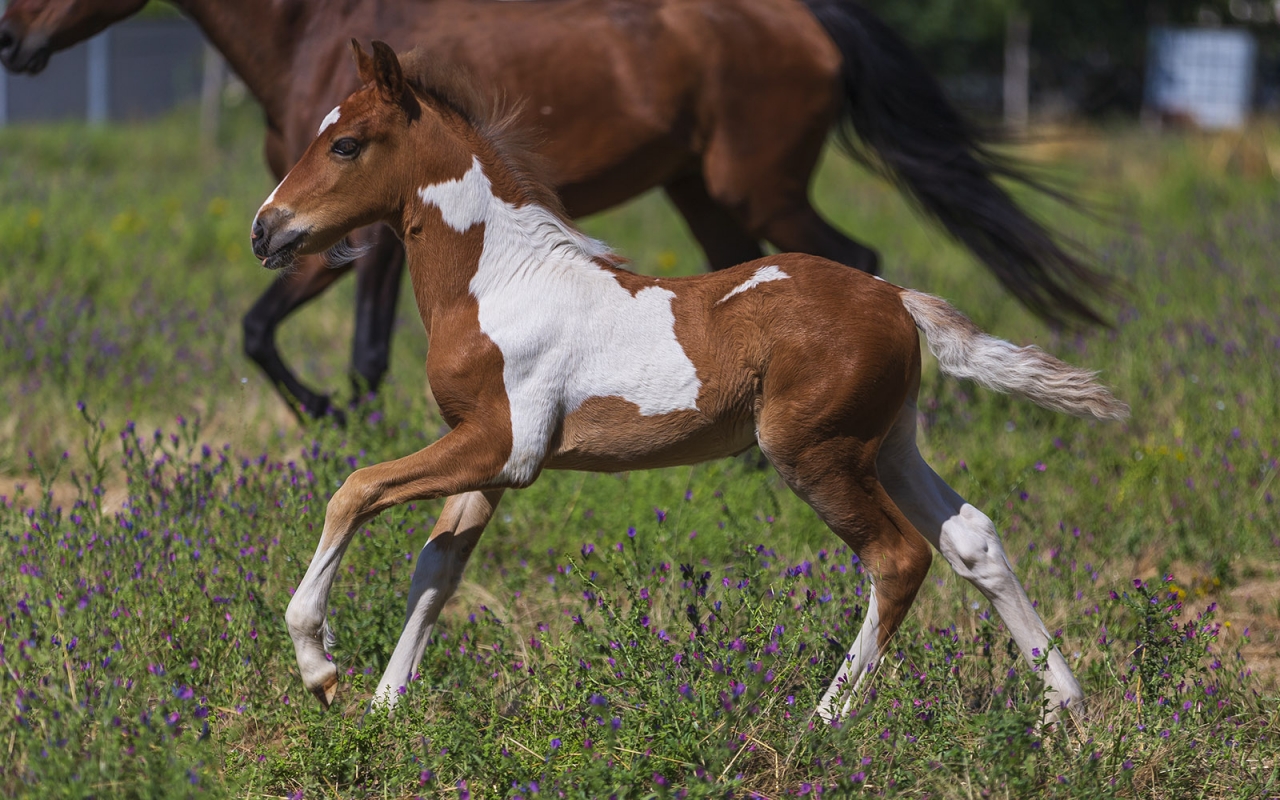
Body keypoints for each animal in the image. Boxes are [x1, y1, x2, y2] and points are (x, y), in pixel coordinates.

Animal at [1, 0, 1110, 422]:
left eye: (346, 144)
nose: (11, 35)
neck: (312, 30)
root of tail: (805, 18)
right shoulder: (351, 237)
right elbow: (296, 335)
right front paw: (344, 420)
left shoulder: (342, 234)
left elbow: (295, 339)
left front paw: (335, 418)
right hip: (706, 194)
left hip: (756, 185)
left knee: (853, 251)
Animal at [249, 41, 1128, 721]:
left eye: (346, 144)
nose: (266, 229)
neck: (498, 280)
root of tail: (895, 296)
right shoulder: (485, 456)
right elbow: (435, 571)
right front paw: (382, 707)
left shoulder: (505, 446)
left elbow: (355, 489)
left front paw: (321, 669)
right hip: (888, 444)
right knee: (972, 539)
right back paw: (1064, 708)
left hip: (814, 450)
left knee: (898, 558)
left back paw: (824, 722)